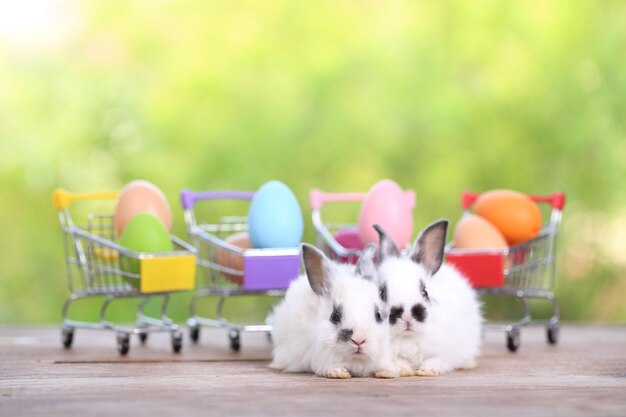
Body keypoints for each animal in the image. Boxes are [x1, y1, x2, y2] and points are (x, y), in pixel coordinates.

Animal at [372, 219, 480, 376]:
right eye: (382, 292)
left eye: (425, 292)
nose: (407, 315)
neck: (408, 338)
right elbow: (397, 360)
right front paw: (403, 369)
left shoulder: (448, 351)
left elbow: (438, 358)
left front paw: (429, 369)